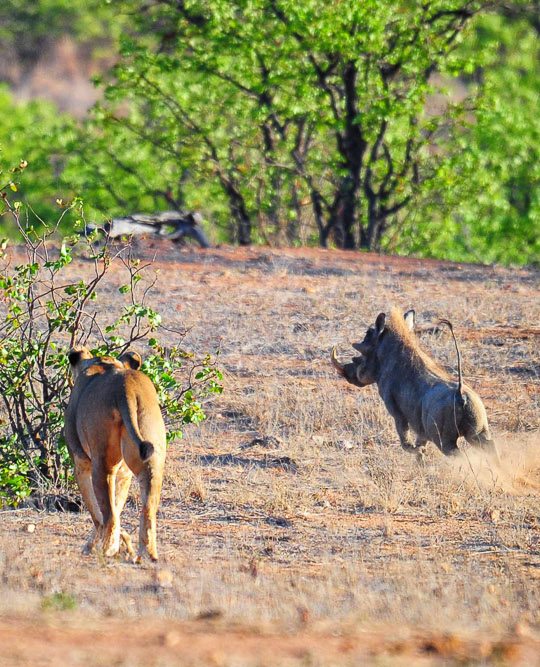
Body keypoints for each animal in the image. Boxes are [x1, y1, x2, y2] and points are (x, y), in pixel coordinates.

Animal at [65, 346, 167, 561]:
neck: (102, 363)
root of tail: (126, 387)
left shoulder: (80, 462)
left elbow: (98, 514)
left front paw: (92, 546)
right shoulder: (124, 474)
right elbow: (118, 506)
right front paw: (125, 543)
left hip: (102, 462)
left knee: (109, 515)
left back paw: (106, 551)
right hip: (151, 460)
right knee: (148, 510)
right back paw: (146, 555)